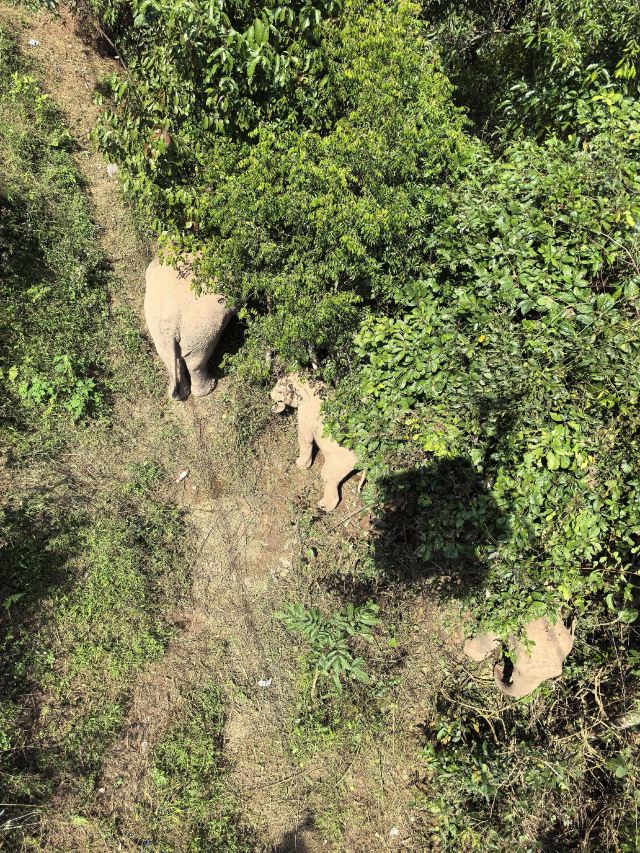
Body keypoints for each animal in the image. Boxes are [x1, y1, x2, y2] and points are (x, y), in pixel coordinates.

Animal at [144, 255, 235, 400]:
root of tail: (171, 328)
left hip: (158, 331)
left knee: (168, 357)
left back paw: (179, 395)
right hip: (202, 329)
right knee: (196, 360)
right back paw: (210, 387)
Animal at [270, 374, 360, 512]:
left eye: (280, 390)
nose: (270, 394)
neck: (310, 383)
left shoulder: (306, 414)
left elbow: (305, 438)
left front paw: (300, 464)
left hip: (340, 463)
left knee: (328, 477)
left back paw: (323, 506)